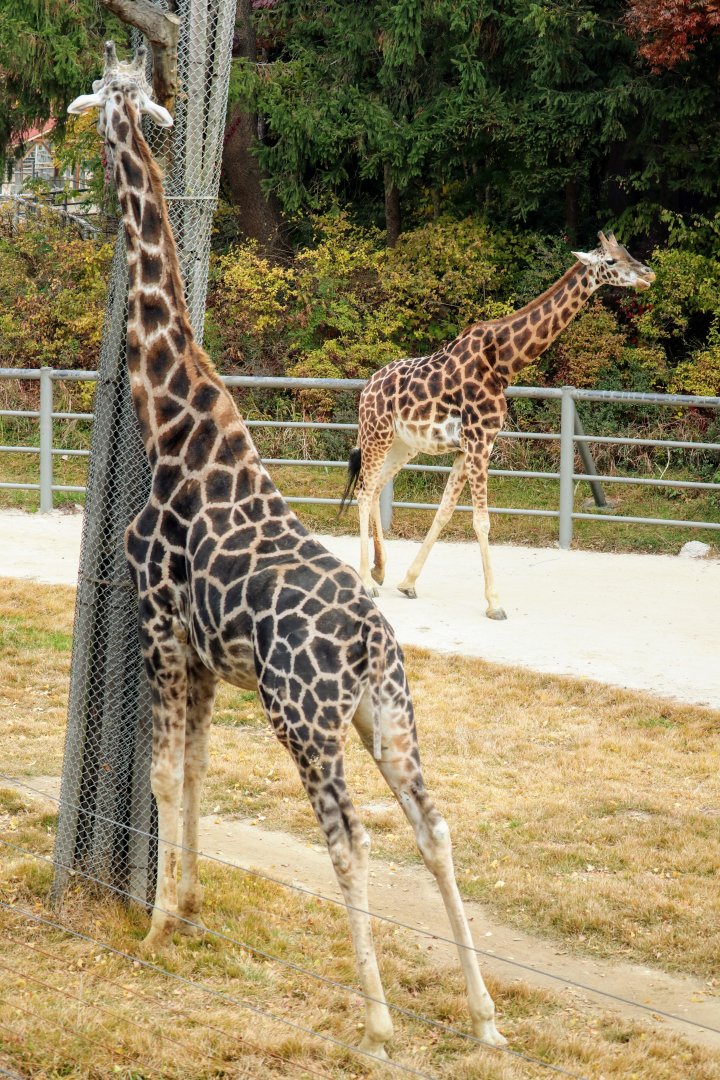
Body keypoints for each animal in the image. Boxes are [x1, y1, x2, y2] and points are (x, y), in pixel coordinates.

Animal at [67, 43, 506, 1060]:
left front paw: (155, 929)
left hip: (304, 717)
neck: (176, 422)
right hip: (387, 714)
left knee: (353, 839)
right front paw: (188, 906)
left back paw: (379, 1015)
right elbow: (193, 772)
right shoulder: (199, 657)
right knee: (435, 828)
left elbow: (162, 771)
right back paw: (483, 1015)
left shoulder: (159, 626)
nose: (96, 136)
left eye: (104, 100)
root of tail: (369, 644)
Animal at [342, 235, 655, 618]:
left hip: (404, 445)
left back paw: (379, 570)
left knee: (374, 489)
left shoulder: (469, 447)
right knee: (363, 490)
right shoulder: (479, 442)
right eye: (610, 261)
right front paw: (494, 602)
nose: (648, 274)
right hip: (376, 433)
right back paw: (367, 582)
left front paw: (409, 582)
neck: (504, 364)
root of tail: (367, 388)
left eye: (626, 252)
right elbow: (482, 521)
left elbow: (444, 513)